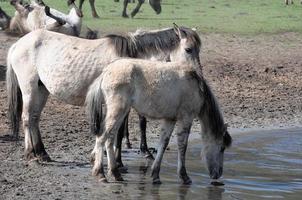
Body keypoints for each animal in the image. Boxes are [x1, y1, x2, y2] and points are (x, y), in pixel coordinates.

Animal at [5, 24, 201, 164]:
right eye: (188, 49)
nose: (197, 73)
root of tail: (18, 44)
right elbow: (117, 131)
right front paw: (117, 161)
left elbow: (116, 130)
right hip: (29, 88)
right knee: (26, 118)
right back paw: (31, 154)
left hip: (41, 89)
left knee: (34, 118)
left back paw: (42, 153)